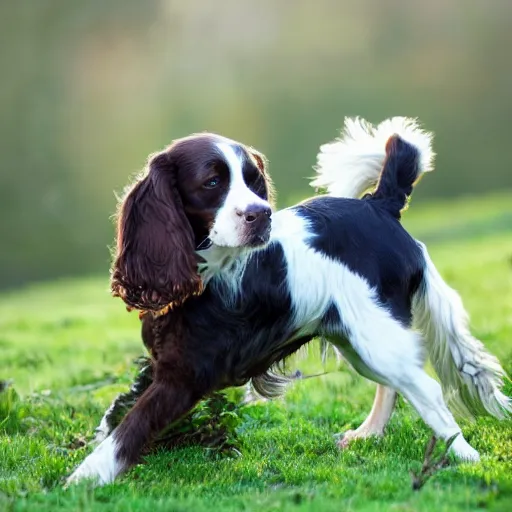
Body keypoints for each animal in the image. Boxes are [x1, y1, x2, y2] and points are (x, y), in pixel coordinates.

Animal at [68, 115, 512, 484]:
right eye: (212, 182)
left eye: (253, 181)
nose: (261, 214)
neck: (201, 273)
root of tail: (380, 204)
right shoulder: (163, 362)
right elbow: (119, 411)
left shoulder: (184, 376)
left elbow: (130, 429)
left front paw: (82, 479)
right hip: (357, 339)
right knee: (399, 385)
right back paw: (368, 434)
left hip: (376, 336)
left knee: (430, 392)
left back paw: (467, 458)